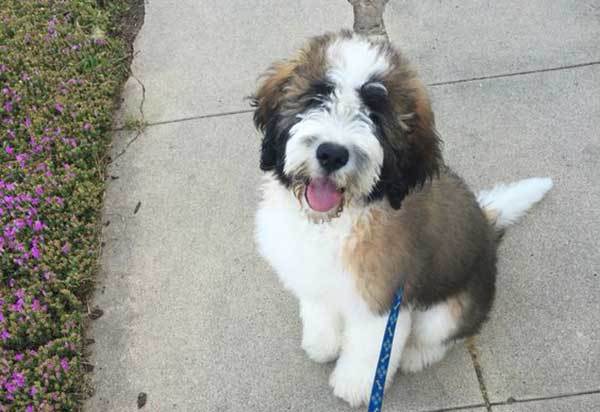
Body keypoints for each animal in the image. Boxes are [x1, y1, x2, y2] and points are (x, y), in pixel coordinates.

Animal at [250, 30, 552, 408]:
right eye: (318, 96)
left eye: (375, 114)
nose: (332, 153)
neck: (338, 220)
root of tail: (486, 223)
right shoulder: (315, 278)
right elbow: (320, 309)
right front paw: (322, 343)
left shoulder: (383, 301)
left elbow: (369, 350)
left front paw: (354, 385)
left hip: (447, 311)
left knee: (444, 337)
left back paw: (415, 356)